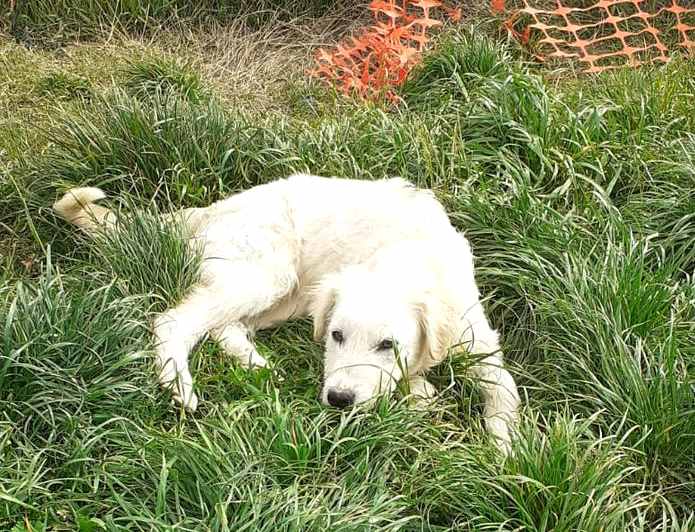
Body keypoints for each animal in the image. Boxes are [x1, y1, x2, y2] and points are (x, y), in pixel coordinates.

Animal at [54, 176, 520, 454]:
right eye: (336, 336)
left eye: (388, 344)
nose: (338, 401)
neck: (407, 257)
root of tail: (214, 208)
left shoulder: (476, 337)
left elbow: (503, 388)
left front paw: (505, 446)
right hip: (267, 273)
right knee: (178, 321)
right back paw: (181, 387)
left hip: (288, 292)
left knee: (224, 325)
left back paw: (255, 363)